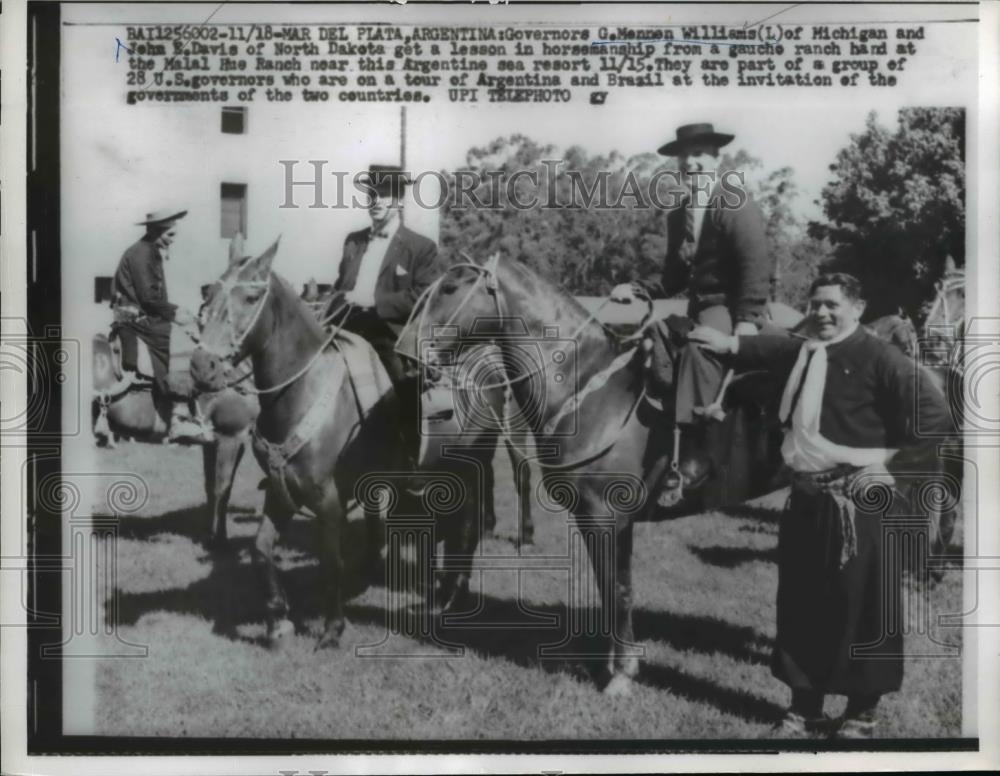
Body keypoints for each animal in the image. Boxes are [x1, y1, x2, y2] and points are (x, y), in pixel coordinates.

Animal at [398, 258, 788, 696]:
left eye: (449, 288)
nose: (404, 352)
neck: (590, 391)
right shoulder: (607, 521)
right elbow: (617, 589)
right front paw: (620, 665)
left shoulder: (603, 516)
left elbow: (615, 589)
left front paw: (618, 675)